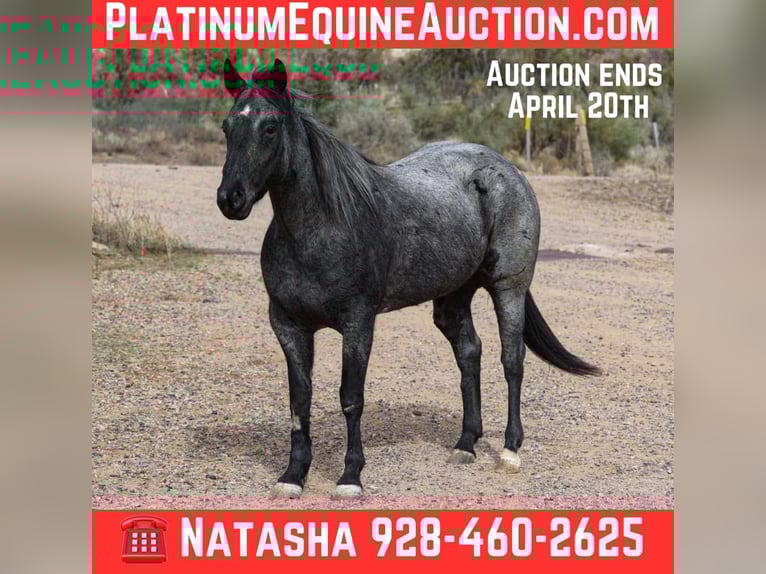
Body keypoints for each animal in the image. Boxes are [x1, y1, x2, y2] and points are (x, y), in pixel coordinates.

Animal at [216, 59, 600, 498]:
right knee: (470, 352)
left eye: (270, 128)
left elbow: (351, 397)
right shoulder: (288, 326)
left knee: (512, 359)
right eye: (228, 126)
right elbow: (300, 401)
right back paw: (466, 444)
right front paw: (293, 475)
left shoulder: (358, 324)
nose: (231, 199)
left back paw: (509, 450)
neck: (321, 228)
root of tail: (508, 170)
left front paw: (350, 476)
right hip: (453, 297)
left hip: (509, 288)